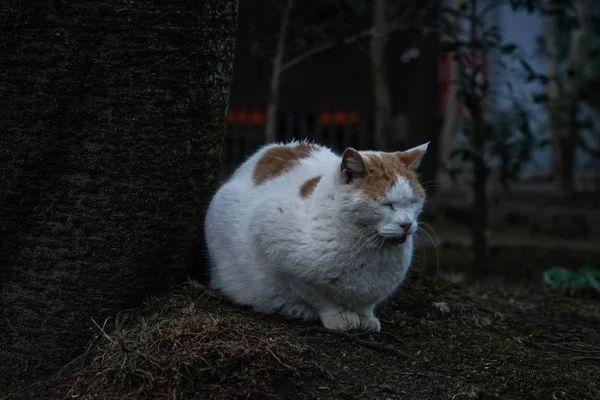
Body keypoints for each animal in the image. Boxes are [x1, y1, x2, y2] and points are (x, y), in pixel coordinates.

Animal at [204, 139, 428, 332]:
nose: (407, 224)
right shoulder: (269, 225)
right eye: (387, 204)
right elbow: (316, 295)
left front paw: (366, 317)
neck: (371, 248)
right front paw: (340, 316)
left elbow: (367, 303)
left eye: (412, 201)